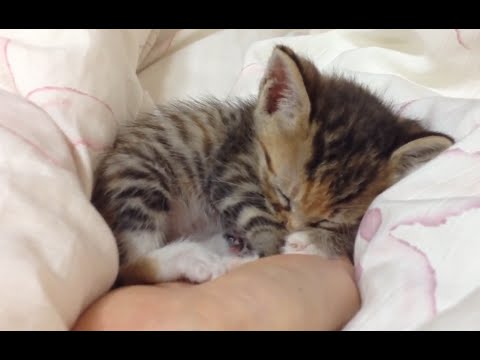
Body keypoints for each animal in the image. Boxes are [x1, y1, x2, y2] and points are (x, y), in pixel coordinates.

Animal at [91, 45, 454, 286]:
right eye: (282, 196)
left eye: (325, 220)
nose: (295, 229)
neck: (251, 132)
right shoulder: (231, 170)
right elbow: (261, 223)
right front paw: (283, 245)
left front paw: (315, 241)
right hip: (141, 177)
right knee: (130, 265)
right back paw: (198, 261)